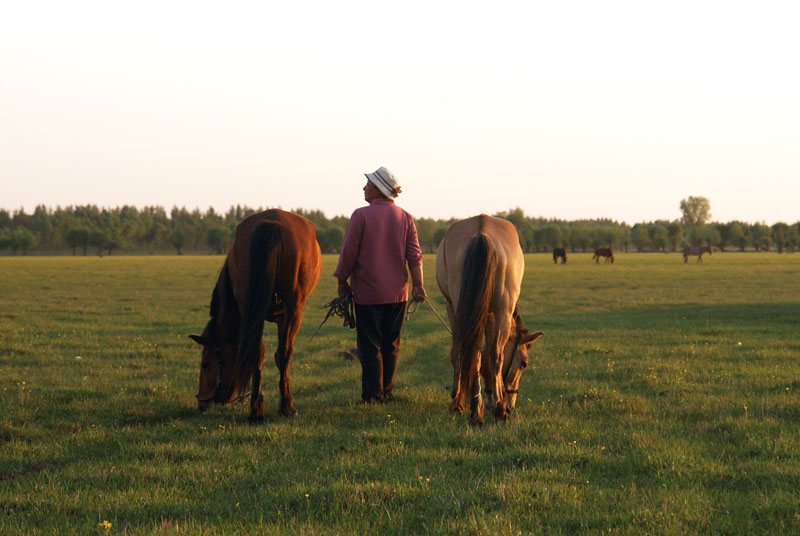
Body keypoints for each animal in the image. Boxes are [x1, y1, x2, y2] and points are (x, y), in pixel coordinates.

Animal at [189, 207, 320, 420]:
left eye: (206, 365)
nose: (202, 404)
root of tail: (272, 223)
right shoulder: (283, 316)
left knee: (259, 352)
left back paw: (258, 410)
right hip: (293, 308)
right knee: (280, 353)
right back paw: (280, 407)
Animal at [438, 216, 544, 426]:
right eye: (524, 364)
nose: (511, 405)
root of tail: (482, 232)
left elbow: (477, 356)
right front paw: (495, 402)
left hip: (464, 310)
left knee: (471, 352)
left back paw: (472, 408)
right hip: (499, 310)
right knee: (493, 354)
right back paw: (495, 410)